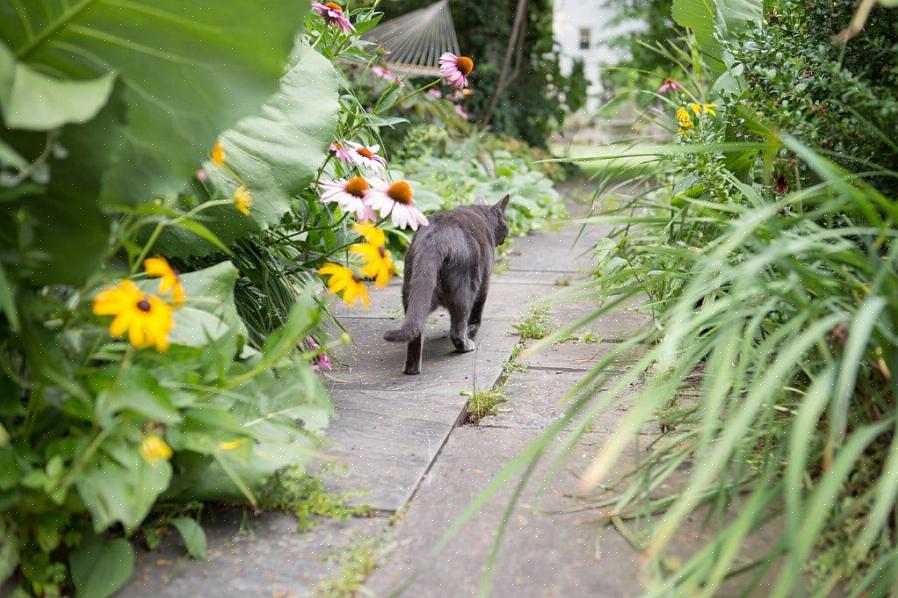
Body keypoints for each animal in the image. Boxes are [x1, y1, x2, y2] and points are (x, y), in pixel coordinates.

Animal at [384, 196, 512, 376]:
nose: (507, 233)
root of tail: (435, 241)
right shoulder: (485, 283)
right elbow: (476, 314)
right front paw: (472, 331)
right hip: (465, 291)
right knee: (457, 330)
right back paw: (467, 345)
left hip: (412, 290)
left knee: (416, 330)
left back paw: (412, 369)